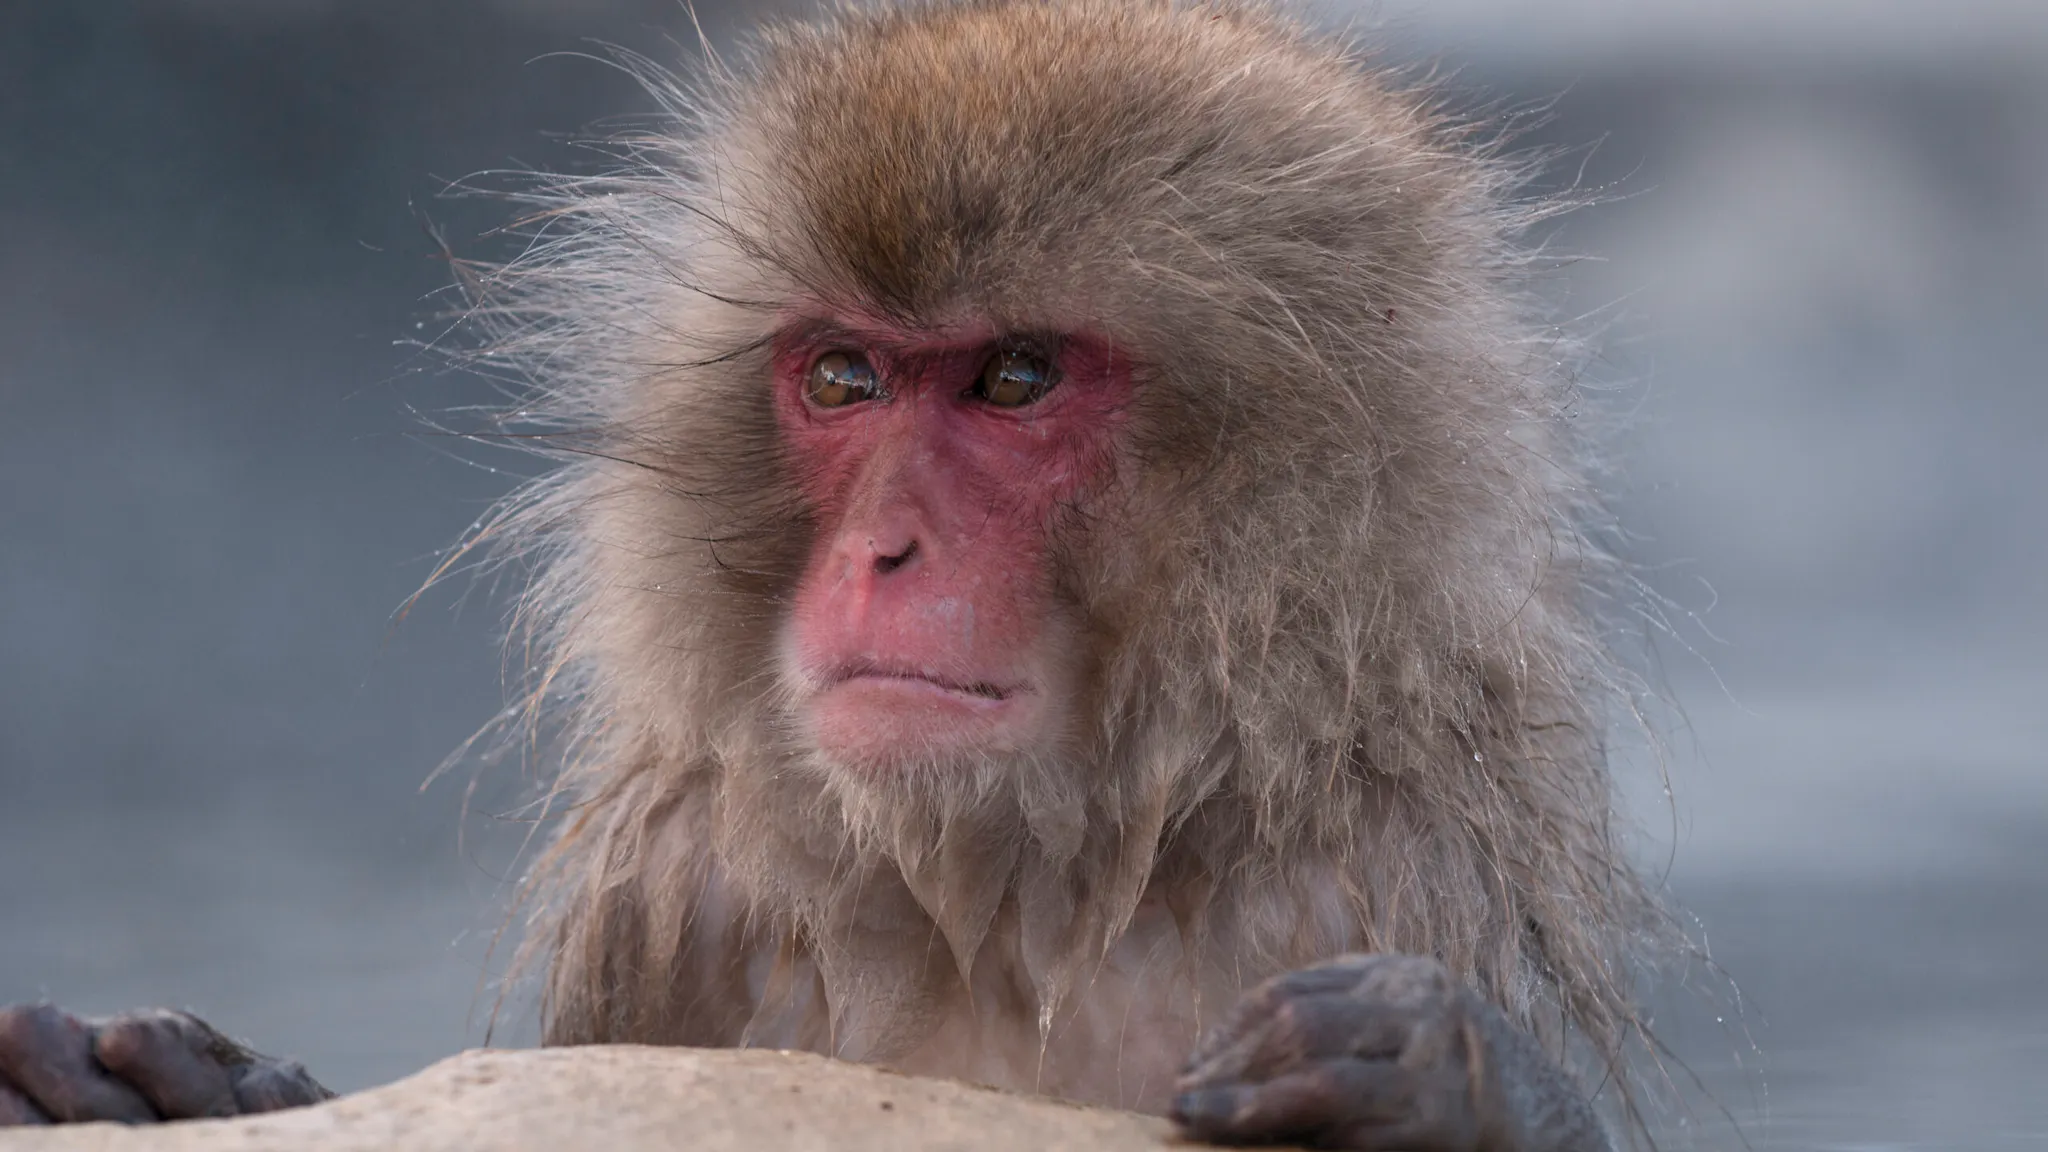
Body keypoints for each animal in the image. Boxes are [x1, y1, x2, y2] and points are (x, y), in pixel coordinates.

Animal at [0, 1, 1677, 1147]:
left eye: (1013, 378)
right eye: (845, 379)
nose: (881, 548)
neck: (1021, 890)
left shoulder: (1364, 877)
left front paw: (1457, 1079)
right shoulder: (690, 898)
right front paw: (181, 1085)